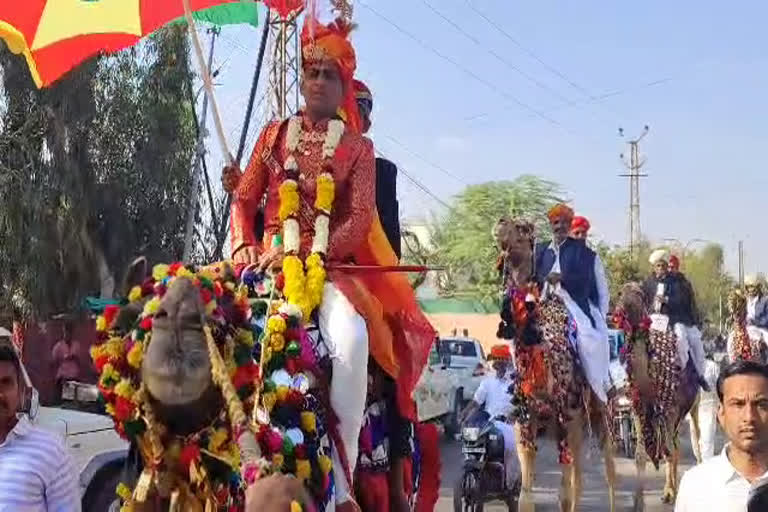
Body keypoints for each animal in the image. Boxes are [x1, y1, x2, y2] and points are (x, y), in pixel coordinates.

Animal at [496, 218, 616, 512]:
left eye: (523, 229)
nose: (500, 224)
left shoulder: (569, 419)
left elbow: (567, 494)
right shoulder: (525, 423)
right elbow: (527, 497)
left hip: (598, 413)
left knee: (607, 471)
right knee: (579, 477)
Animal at [612, 282, 704, 510]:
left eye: (640, 295)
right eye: (620, 292)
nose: (618, 313)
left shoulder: (670, 410)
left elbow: (668, 450)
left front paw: (671, 493)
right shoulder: (638, 410)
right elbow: (640, 455)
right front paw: (638, 502)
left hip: (693, 406)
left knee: (695, 438)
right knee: (676, 445)